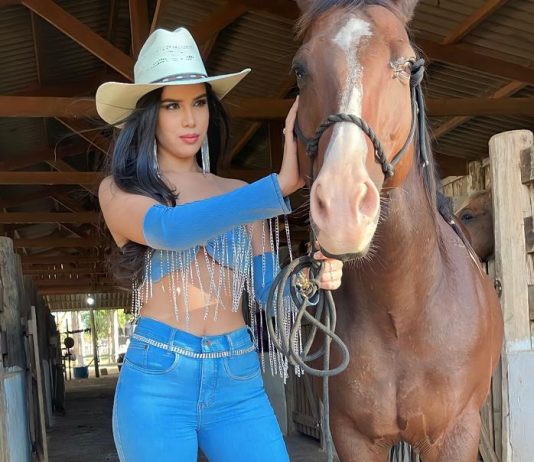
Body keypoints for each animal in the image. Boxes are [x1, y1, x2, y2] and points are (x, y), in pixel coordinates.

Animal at [291, 1, 504, 460]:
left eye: (407, 65)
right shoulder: (353, 438)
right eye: (300, 70)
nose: (342, 206)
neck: (402, 312)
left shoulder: (458, 434)